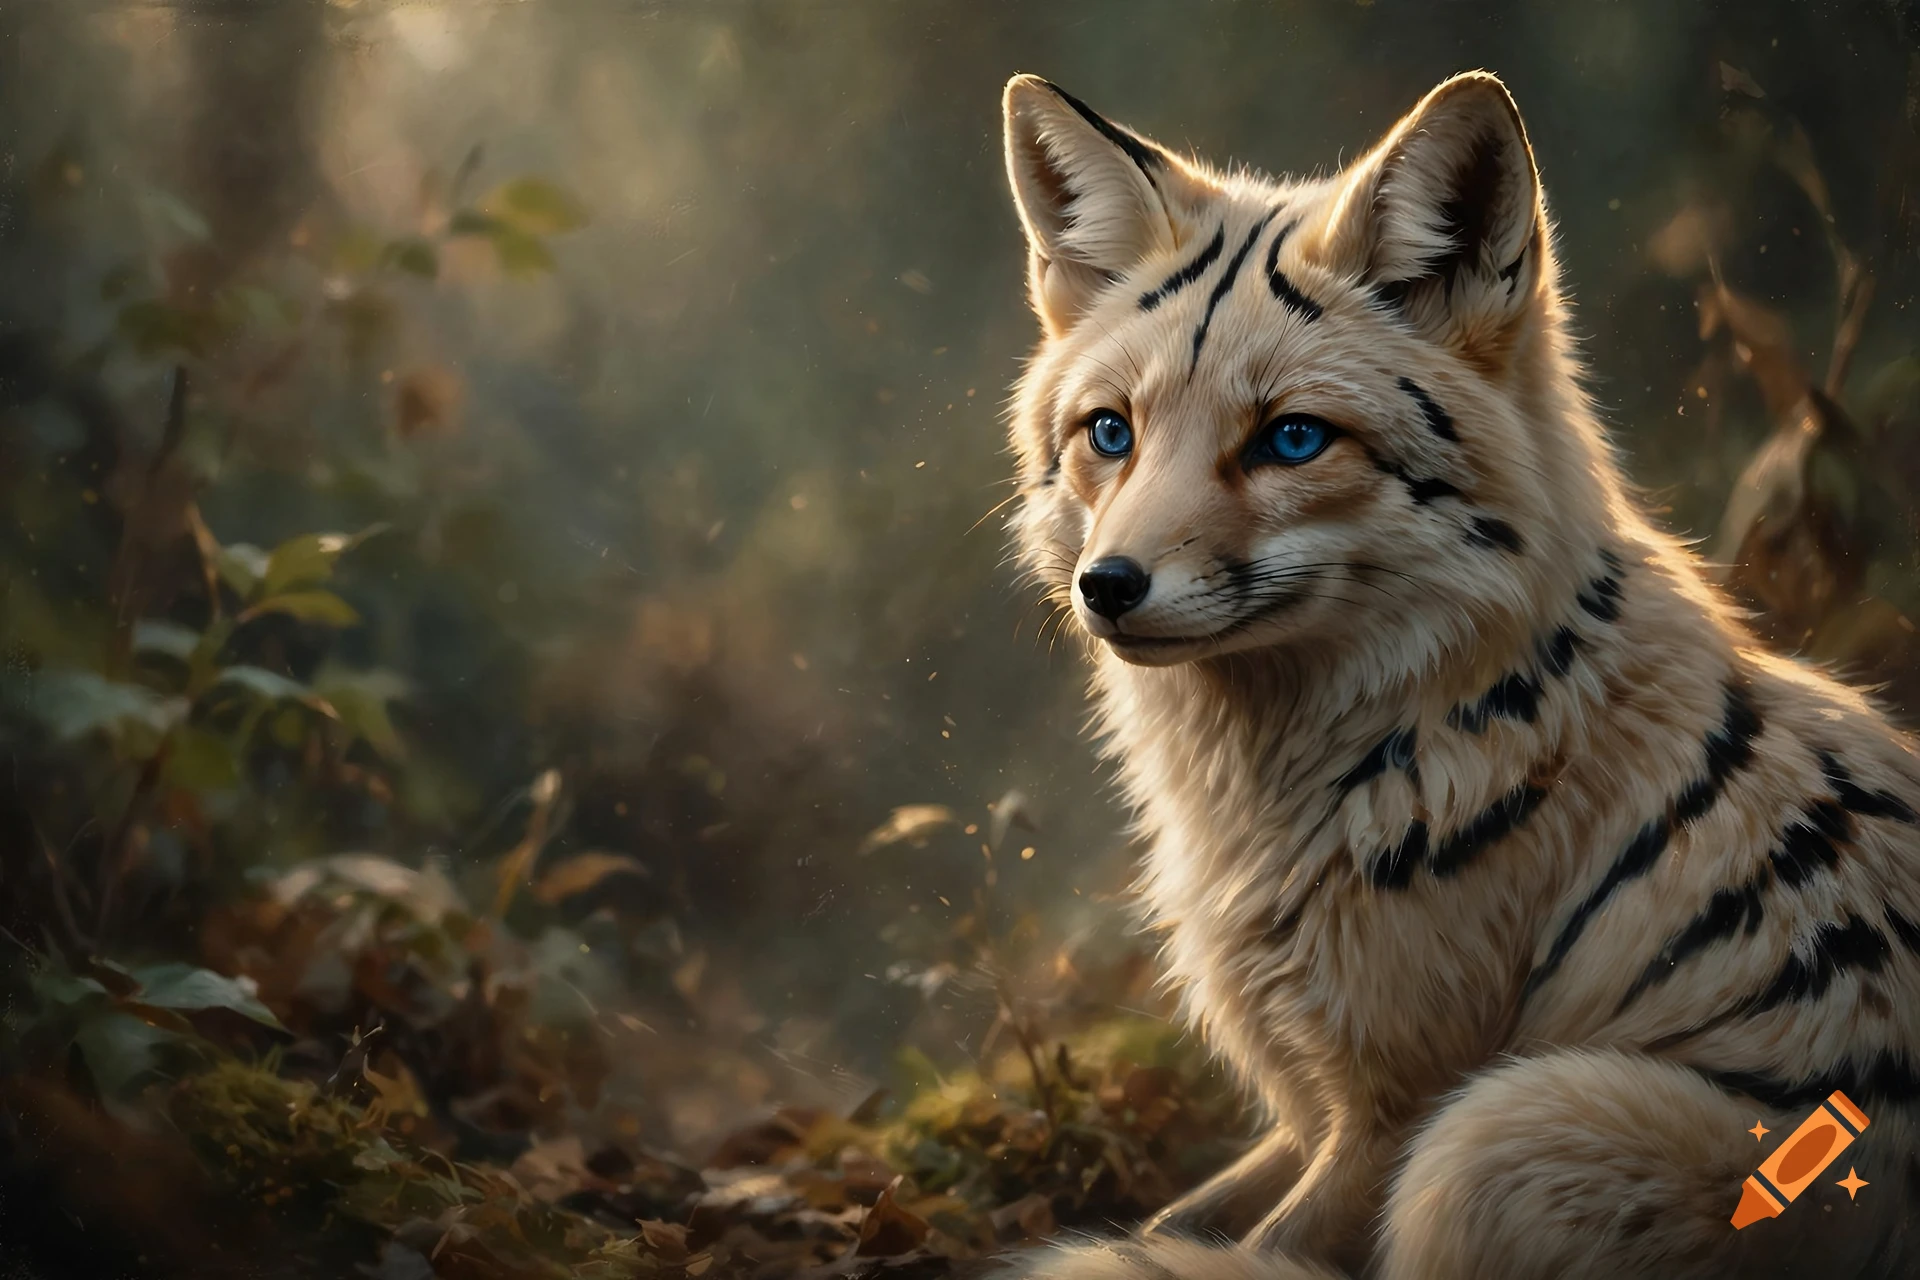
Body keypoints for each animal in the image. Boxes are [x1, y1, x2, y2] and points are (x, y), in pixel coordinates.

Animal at [994, 70, 1920, 1280]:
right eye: (1111, 433)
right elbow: (1170, 1224)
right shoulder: (1311, 1115)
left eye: (1292, 440)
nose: (1108, 585)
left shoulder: (1391, 1116)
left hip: (1490, 1135)